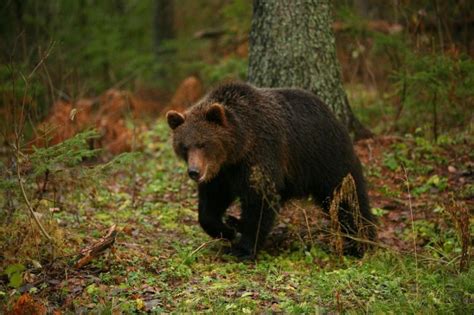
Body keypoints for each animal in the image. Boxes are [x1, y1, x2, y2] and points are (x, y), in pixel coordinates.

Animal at [167, 81, 378, 260]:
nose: (194, 172)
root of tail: (332, 114)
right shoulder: (222, 173)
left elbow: (260, 198)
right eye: (184, 146)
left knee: (346, 198)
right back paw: (235, 221)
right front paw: (226, 230)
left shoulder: (261, 153)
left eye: (203, 143)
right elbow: (211, 203)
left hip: (325, 157)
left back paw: (361, 242)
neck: (238, 147)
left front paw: (243, 248)